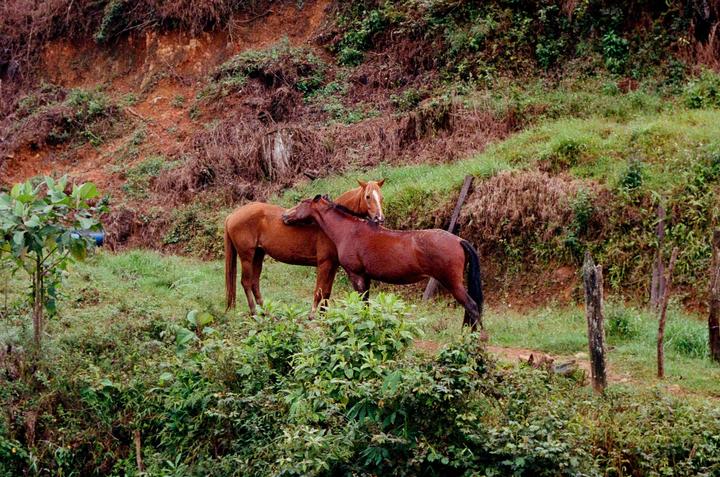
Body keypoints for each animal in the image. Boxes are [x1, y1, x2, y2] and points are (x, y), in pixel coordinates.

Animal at [224, 180, 385, 315]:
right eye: (368, 196)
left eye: (381, 197)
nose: (380, 218)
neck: (331, 223)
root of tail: (232, 215)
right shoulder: (324, 263)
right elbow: (319, 291)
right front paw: (314, 316)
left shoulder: (333, 265)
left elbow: (327, 292)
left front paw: (323, 316)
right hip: (246, 256)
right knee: (246, 282)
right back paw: (254, 313)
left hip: (258, 254)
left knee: (254, 283)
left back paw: (266, 313)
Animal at [282, 195, 484, 329]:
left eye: (302, 203)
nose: (284, 216)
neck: (349, 230)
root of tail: (459, 240)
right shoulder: (366, 277)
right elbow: (366, 304)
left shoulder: (356, 275)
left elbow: (362, 302)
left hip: (452, 282)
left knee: (472, 307)